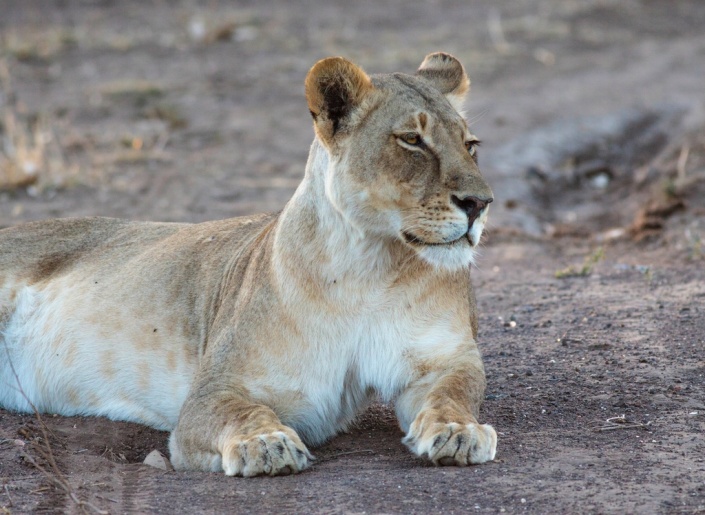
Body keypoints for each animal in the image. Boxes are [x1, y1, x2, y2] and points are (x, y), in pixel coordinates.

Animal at [0, 53, 496, 476]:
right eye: (412, 140)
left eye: (471, 144)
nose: (480, 203)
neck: (371, 267)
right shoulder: (212, 392)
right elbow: (242, 412)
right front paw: (266, 443)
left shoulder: (445, 358)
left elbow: (454, 395)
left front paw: (460, 432)